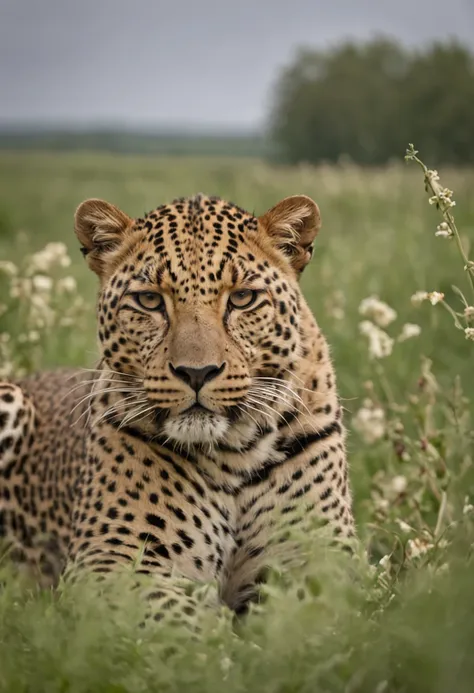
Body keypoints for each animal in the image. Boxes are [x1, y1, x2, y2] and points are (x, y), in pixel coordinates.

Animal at [0, 193, 356, 620]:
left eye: (242, 298)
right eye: (149, 300)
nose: (196, 372)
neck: (235, 453)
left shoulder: (324, 556)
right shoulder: (107, 559)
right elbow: (182, 619)